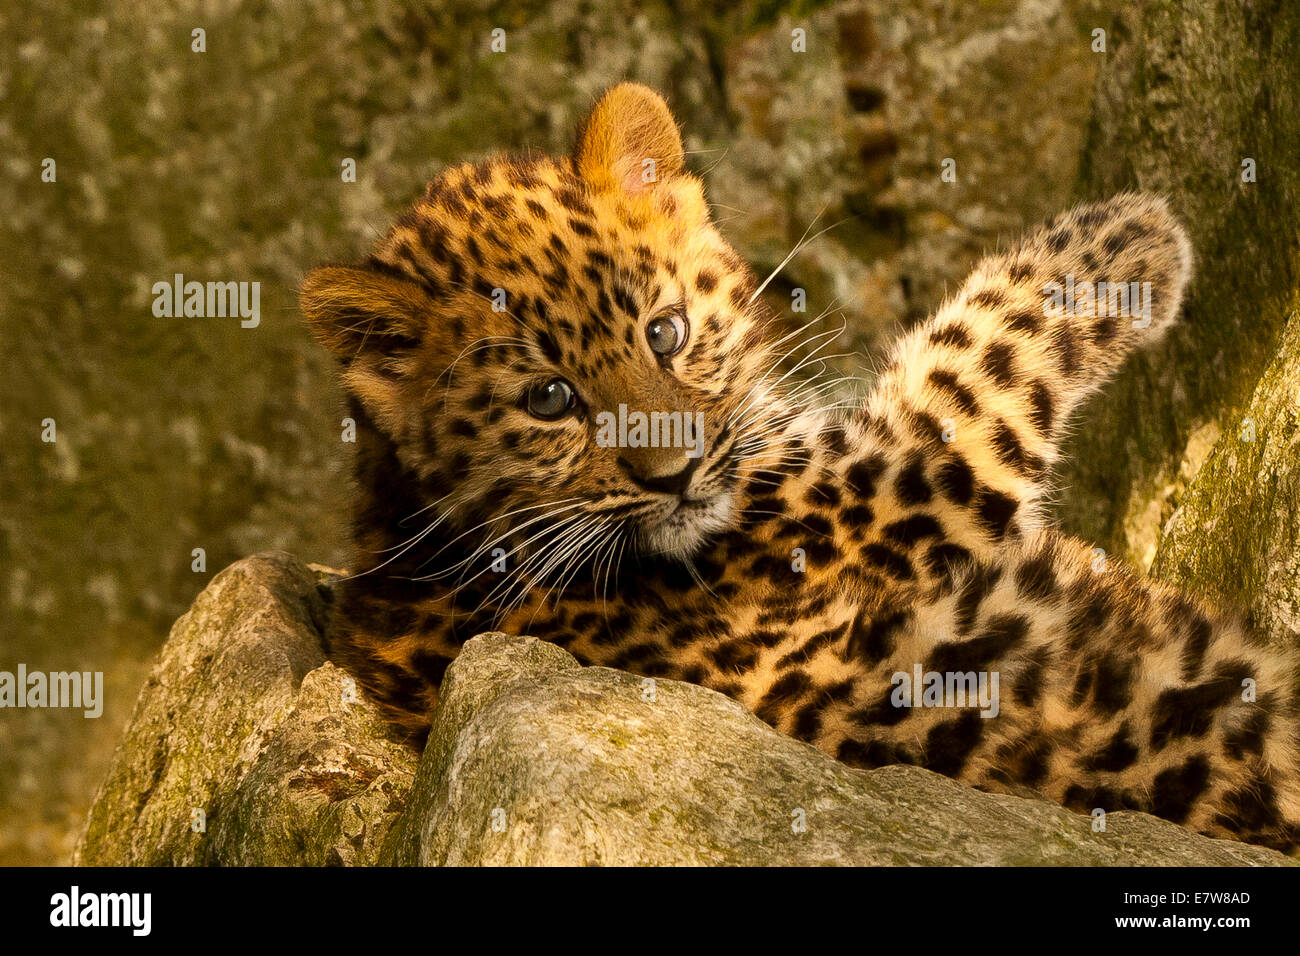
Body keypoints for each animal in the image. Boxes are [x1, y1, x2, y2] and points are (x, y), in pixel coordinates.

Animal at [300, 83, 1300, 853]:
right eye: (549, 399)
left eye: (666, 333)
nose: (674, 474)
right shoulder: (894, 489)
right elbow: (971, 355)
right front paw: (1132, 238)